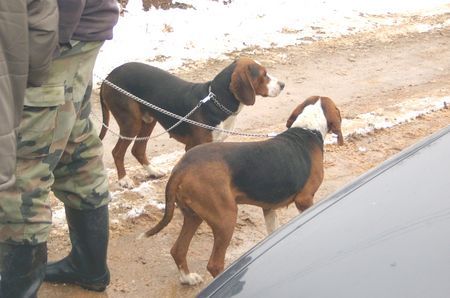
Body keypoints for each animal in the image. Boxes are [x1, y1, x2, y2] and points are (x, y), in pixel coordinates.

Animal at [100, 57, 286, 187]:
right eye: (263, 75)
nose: (283, 84)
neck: (215, 101)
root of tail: (108, 77)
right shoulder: (193, 146)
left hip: (148, 121)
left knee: (137, 150)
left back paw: (153, 171)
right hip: (131, 123)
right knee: (117, 152)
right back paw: (124, 180)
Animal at [142, 95, 346, 284]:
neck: (307, 130)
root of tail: (181, 168)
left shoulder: (269, 207)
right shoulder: (305, 199)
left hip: (194, 216)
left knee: (178, 250)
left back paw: (188, 278)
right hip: (226, 218)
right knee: (214, 264)